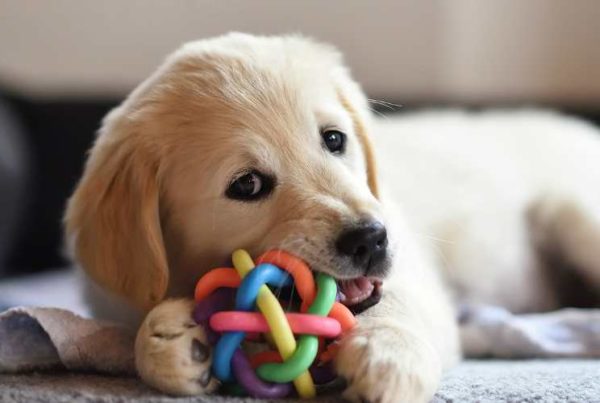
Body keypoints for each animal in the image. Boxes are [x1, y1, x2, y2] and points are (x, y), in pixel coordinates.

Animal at [64, 32, 600, 403]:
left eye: (335, 139)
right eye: (247, 185)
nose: (372, 239)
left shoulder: (412, 270)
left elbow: (397, 304)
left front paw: (387, 356)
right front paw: (170, 340)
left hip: (573, 214)